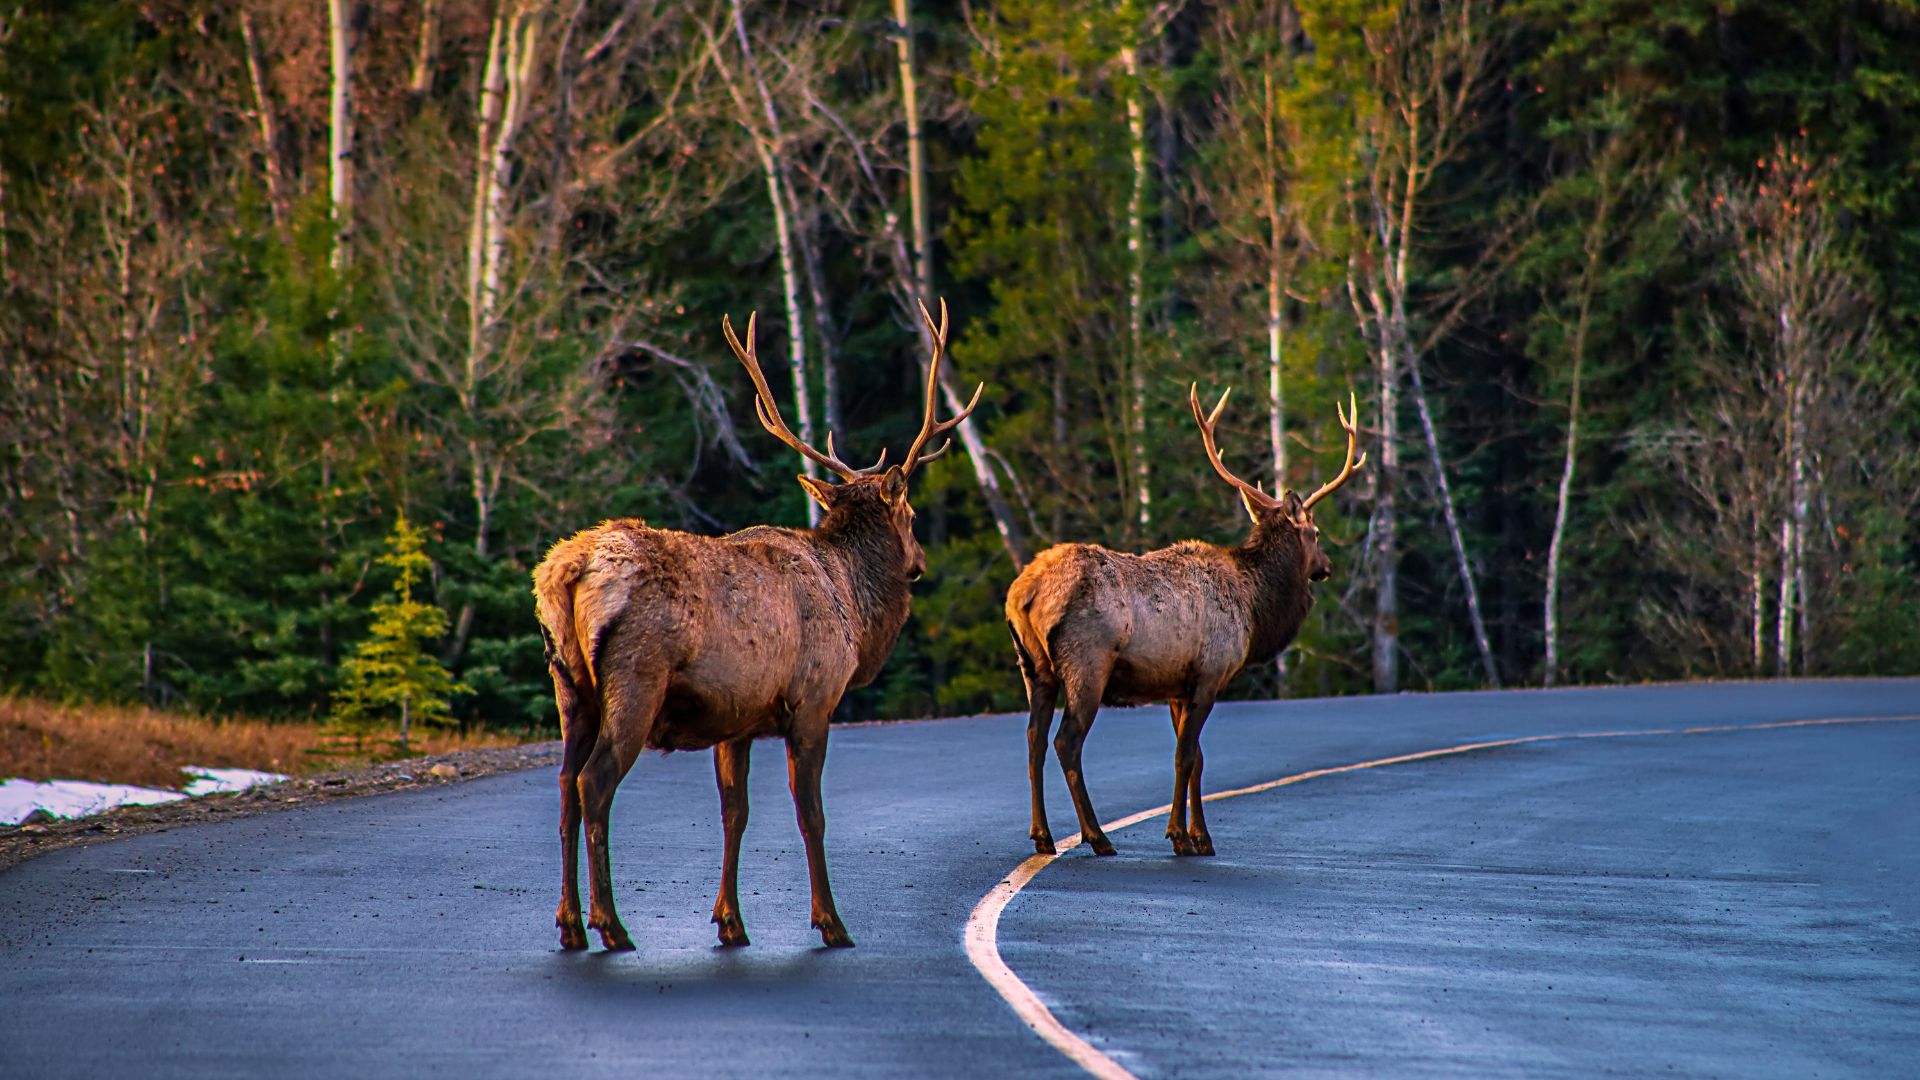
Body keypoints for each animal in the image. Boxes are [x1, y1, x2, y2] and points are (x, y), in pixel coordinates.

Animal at [532, 300, 977, 951]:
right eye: (913, 514)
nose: (919, 563)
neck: (852, 604)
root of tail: (567, 570)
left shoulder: (736, 719)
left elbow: (734, 813)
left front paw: (730, 922)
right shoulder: (815, 698)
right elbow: (811, 813)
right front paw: (830, 922)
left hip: (568, 685)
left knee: (564, 785)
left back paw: (568, 924)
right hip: (636, 679)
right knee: (594, 783)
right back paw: (609, 925)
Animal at [1005, 385, 1363, 858]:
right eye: (1316, 533)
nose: (1327, 566)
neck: (1253, 607)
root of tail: (1023, 594)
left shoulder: (1178, 684)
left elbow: (1196, 757)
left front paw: (1199, 837)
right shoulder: (1211, 673)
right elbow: (1186, 755)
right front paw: (1182, 836)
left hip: (1032, 667)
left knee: (1032, 738)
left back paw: (1042, 836)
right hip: (1087, 662)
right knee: (1067, 741)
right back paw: (1097, 837)